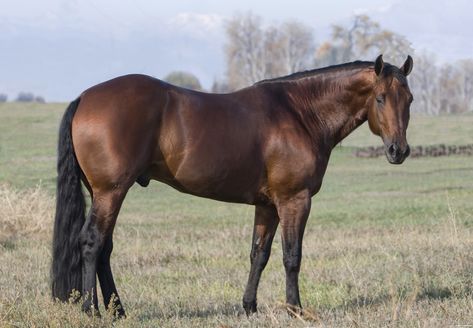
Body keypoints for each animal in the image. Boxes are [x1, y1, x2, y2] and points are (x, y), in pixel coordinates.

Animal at [52, 55, 412, 316]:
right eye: (381, 98)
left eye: (408, 99)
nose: (399, 151)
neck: (299, 112)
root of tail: (84, 97)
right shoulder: (294, 200)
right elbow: (291, 256)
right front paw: (295, 309)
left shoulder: (267, 205)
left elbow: (259, 254)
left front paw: (249, 307)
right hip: (110, 192)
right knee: (92, 243)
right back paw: (91, 310)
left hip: (105, 194)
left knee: (105, 249)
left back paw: (118, 311)